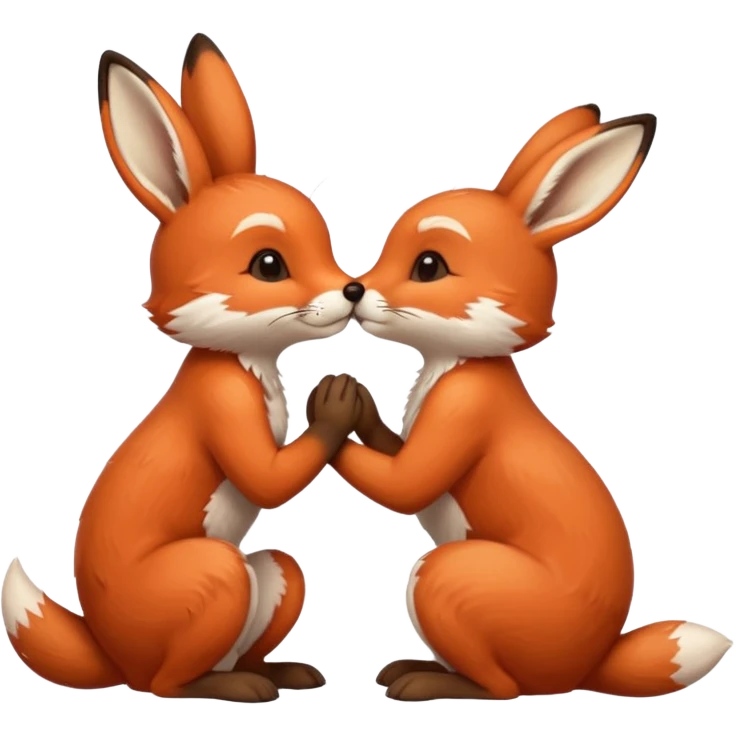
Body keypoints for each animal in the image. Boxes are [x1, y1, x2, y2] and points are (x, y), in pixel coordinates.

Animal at [0, 34, 364, 703]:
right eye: (269, 264)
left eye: (325, 244)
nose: (352, 290)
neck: (246, 363)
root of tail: (109, 653)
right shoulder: (223, 407)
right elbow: (267, 477)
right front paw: (336, 406)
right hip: (215, 575)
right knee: (167, 683)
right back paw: (232, 687)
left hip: (274, 574)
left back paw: (274, 672)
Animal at [311, 104, 734, 701]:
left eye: (429, 266)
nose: (355, 291)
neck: (458, 361)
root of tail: (590, 665)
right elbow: (393, 450)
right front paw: (361, 403)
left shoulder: (463, 412)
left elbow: (406, 483)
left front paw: (332, 408)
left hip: (443, 580)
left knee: (505, 688)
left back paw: (429, 681)